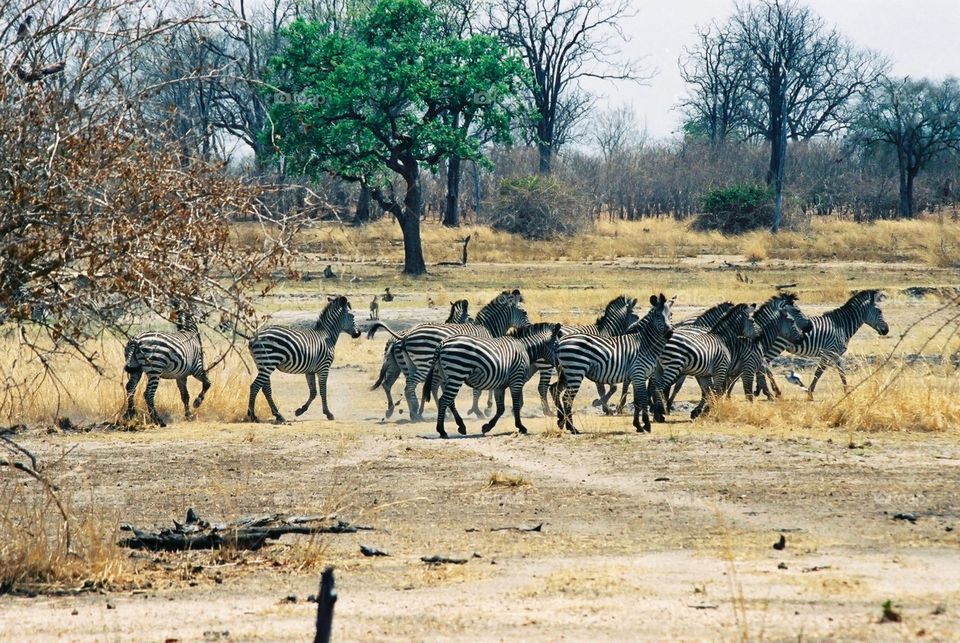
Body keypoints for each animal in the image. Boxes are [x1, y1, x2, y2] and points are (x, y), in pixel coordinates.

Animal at [370, 290, 532, 422]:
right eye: (525, 312)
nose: (530, 328)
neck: (486, 329)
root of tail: (404, 336)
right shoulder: (485, 361)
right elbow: (480, 389)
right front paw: (482, 410)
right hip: (423, 364)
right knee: (409, 385)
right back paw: (415, 413)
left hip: (403, 365)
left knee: (390, 384)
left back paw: (400, 411)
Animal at [422, 322, 564, 438]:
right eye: (557, 346)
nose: (561, 366)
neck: (524, 348)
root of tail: (442, 344)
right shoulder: (516, 379)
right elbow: (516, 405)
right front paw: (521, 427)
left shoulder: (500, 385)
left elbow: (501, 408)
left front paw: (487, 427)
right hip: (457, 373)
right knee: (444, 400)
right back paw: (442, 431)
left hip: (447, 377)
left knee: (450, 401)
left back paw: (461, 426)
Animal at [548, 294, 676, 436]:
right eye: (658, 315)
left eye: (671, 314)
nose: (669, 333)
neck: (645, 345)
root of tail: (561, 341)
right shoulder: (638, 373)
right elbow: (642, 399)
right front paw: (647, 425)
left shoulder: (638, 377)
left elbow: (637, 401)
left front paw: (638, 425)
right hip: (575, 371)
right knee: (567, 398)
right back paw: (572, 428)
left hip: (566, 373)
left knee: (554, 389)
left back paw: (562, 422)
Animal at [752, 290, 888, 400]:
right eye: (879, 311)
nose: (886, 330)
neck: (841, 325)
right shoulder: (829, 352)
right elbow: (819, 372)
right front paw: (810, 393)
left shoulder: (836, 354)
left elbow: (841, 372)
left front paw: (847, 392)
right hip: (776, 346)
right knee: (763, 365)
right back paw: (771, 391)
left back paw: (763, 390)